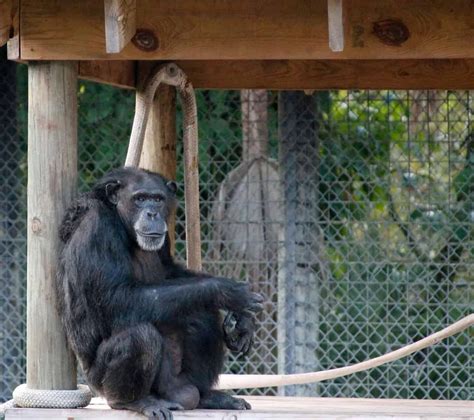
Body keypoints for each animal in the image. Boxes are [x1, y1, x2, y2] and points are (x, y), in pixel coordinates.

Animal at [56, 166, 264, 418]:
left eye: (157, 199)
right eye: (140, 198)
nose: (152, 214)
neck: (121, 221)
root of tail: (178, 393)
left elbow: (170, 271)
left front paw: (241, 321)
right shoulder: (96, 231)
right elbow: (116, 297)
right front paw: (227, 291)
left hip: (176, 383)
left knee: (201, 315)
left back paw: (208, 396)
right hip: (99, 383)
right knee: (140, 337)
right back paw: (136, 402)